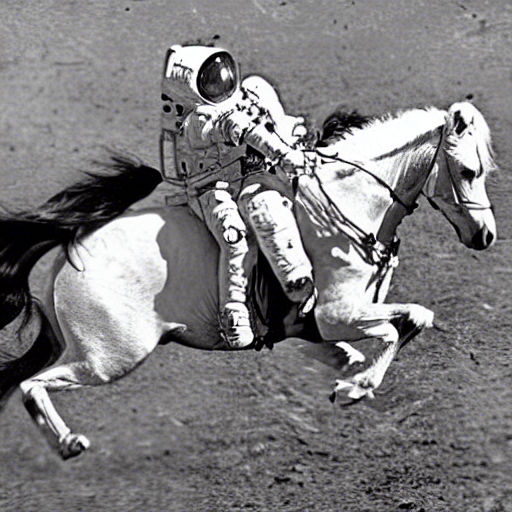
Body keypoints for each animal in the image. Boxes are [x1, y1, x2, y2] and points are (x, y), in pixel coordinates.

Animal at [0, 100, 498, 460]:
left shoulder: (330, 322)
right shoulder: (336, 314)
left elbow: (411, 321)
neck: (346, 204)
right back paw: (70, 444)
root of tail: (73, 245)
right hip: (107, 359)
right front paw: (353, 389)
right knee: (32, 386)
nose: (485, 235)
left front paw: (349, 371)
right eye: (468, 171)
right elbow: (401, 326)